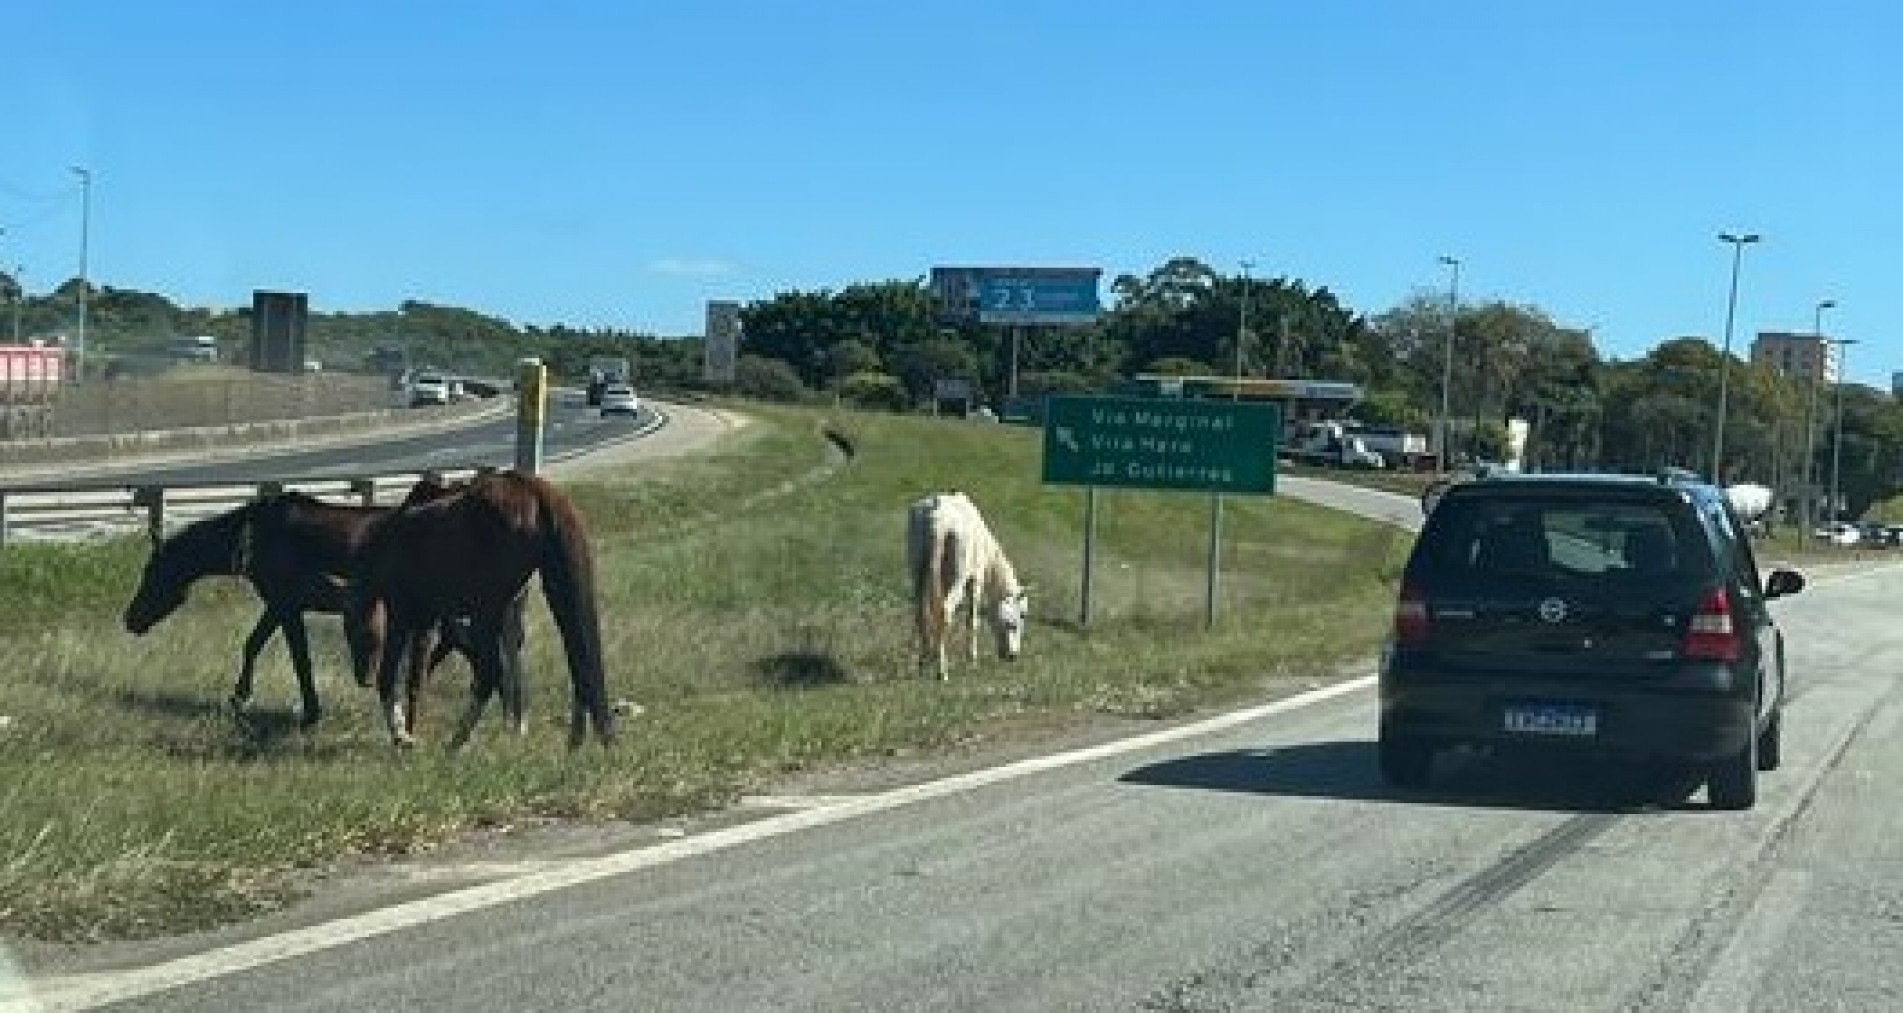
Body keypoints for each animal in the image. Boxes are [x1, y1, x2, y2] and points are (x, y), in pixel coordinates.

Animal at [357, 470, 616, 746]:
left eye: (365, 636)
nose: (363, 678)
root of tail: (537, 491)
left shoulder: (402, 613)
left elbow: (390, 675)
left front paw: (401, 735)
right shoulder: (427, 621)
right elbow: (414, 674)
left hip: (486, 611)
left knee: (492, 671)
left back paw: (456, 742)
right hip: (555, 584)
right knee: (579, 654)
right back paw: (576, 741)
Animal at [902, 491, 1027, 681]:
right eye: (1015, 622)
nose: (1012, 656)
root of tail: (937, 519)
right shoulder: (975, 581)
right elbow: (972, 620)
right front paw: (972, 660)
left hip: (917, 573)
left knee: (920, 613)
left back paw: (923, 662)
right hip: (958, 579)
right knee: (945, 611)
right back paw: (942, 672)